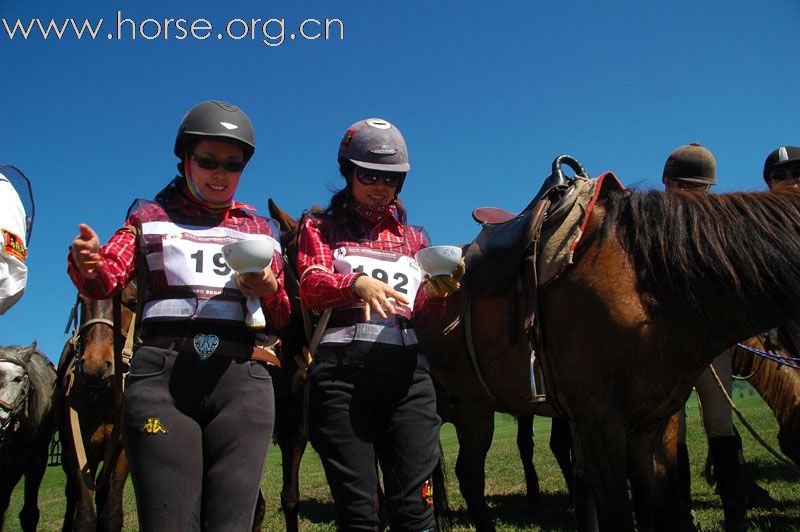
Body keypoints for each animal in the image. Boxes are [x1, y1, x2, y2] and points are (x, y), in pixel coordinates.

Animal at [56, 284, 136, 532]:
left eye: (131, 301)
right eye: (82, 300)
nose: (95, 368)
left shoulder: (122, 452)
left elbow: (111, 514)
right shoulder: (78, 450)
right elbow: (84, 515)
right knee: (71, 493)